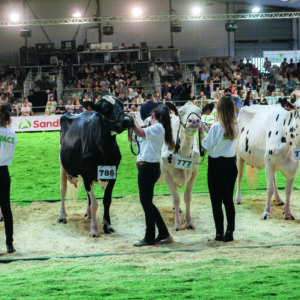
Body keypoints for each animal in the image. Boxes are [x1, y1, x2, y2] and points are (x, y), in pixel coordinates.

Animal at [58, 96, 133, 237]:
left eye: (121, 104)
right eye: (105, 108)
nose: (128, 120)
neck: (105, 150)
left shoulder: (113, 174)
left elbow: (106, 200)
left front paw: (108, 226)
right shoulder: (86, 175)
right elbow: (94, 203)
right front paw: (94, 229)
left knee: (88, 196)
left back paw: (88, 215)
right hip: (62, 166)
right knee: (63, 190)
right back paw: (62, 216)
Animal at [162, 102, 202, 231]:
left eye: (200, 111)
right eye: (181, 111)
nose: (194, 121)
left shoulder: (194, 172)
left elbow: (187, 197)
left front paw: (189, 222)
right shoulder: (167, 174)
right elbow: (176, 198)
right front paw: (177, 224)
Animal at [236, 91, 300, 220]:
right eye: (298, 108)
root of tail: (247, 105)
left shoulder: (294, 166)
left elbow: (288, 191)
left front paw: (288, 212)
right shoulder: (269, 161)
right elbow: (269, 189)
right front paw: (266, 212)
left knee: (274, 178)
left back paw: (278, 199)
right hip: (238, 153)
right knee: (239, 176)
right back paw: (238, 198)